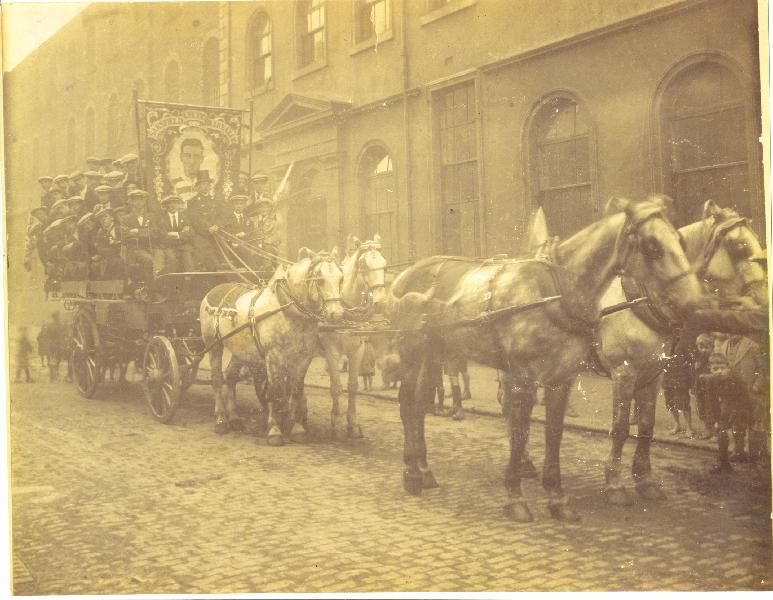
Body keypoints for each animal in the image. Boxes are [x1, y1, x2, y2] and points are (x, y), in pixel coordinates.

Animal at [200, 249, 344, 444]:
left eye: (341, 278)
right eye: (320, 279)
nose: (337, 314)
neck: (288, 310)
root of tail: (214, 289)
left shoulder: (303, 358)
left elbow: (295, 390)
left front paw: (297, 429)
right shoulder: (274, 355)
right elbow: (275, 390)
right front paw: (275, 431)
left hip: (240, 350)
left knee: (230, 377)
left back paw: (235, 419)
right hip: (213, 345)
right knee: (216, 379)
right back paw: (221, 421)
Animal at [317, 235, 388, 438]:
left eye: (385, 264)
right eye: (364, 264)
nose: (381, 302)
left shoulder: (357, 350)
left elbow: (353, 386)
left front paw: (352, 423)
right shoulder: (332, 351)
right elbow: (336, 387)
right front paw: (335, 420)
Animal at [387, 196, 704, 522]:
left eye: (680, 240)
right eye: (652, 246)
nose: (695, 301)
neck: (555, 292)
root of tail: (406, 274)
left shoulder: (566, 379)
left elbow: (555, 434)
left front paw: (557, 497)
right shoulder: (533, 377)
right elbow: (523, 431)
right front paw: (516, 496)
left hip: (435, 352)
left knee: (420, 404)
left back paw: (425, 471)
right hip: (411, 351)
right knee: (408, 403)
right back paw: (412, 472)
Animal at [591, 200, 767, 505]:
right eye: (739, 246)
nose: (765, 298)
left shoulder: (653, 373)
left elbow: (646, 426)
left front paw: (645, 480)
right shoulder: (624, 372)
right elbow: (621, 428)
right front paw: (614, 483)